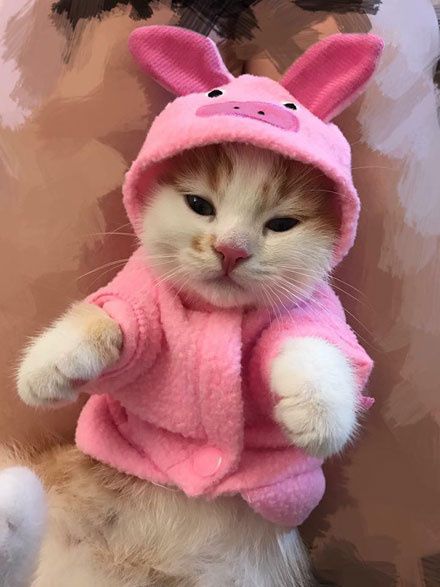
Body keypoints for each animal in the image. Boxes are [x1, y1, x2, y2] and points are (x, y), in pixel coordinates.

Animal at [13, 144, 360, 587]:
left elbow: (317, 345)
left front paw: (318, 410)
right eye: (199, 205)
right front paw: (48, 366)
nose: (231, 249)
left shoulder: (311, 314)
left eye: (282, 224)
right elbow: (111, 319)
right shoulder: (141, 301)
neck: (215, 311)